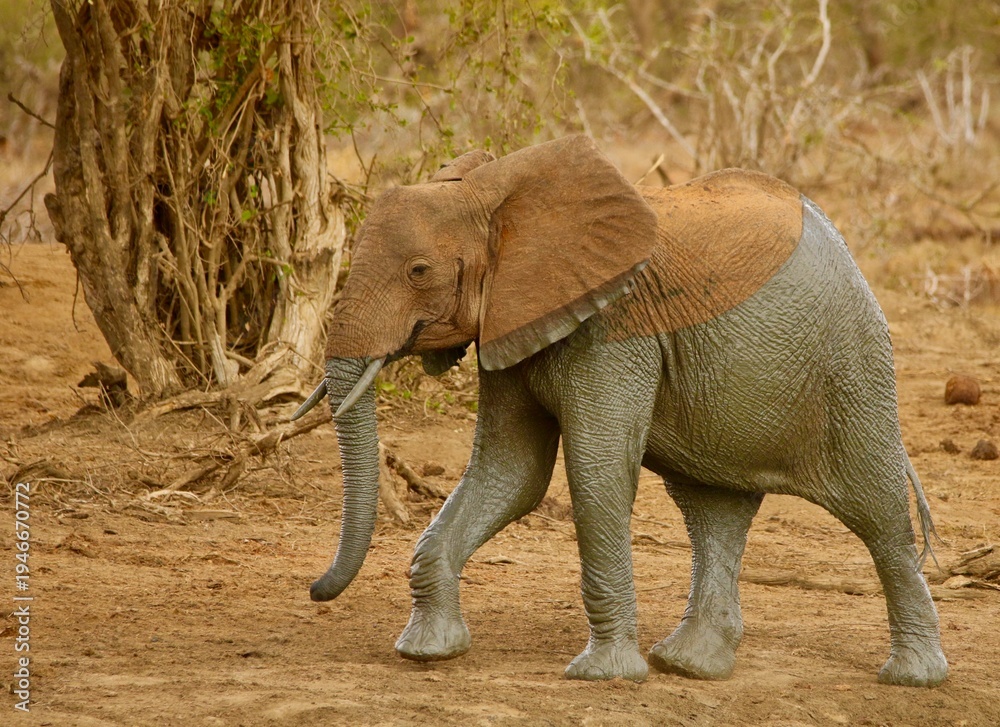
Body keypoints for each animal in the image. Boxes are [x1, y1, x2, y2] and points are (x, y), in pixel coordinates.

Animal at [292, 135, 947, 687]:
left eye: (418, 271)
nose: (315, 590)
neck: (500, 193)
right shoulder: (514, 320)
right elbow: (511, 472)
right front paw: (428, 652)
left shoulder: (612, 329)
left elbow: (595, 474)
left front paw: (601, 676)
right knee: (713, 509)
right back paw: (689, 666)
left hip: (853, 368)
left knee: (878, 510)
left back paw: (912, 677)